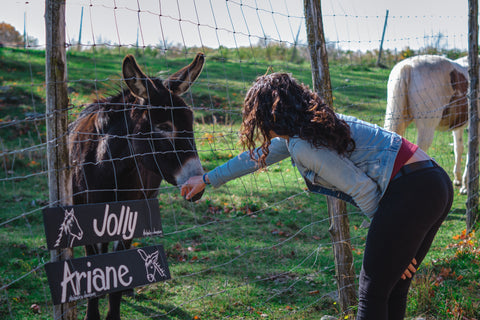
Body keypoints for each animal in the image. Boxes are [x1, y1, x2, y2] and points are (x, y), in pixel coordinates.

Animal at [386, 55, 468, 192]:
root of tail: (408, 65)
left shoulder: (458, 125)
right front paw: (466, 186)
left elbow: (458, 148)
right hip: (426, 128)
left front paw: (458, 179)